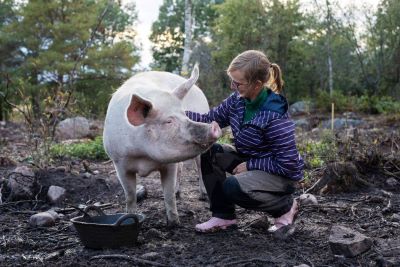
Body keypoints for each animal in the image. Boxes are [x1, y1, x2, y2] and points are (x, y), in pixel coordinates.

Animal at [103, 65, 222, 226]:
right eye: (168, 121)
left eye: (186, 115)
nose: (214, 126)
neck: (144, 155)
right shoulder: (119, 163)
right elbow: (130, 195)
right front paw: (131, 218)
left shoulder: (169, 165)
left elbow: (168, 194)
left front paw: (174, 224)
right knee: (182, 168)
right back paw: (179, 193)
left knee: (199, 167)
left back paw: (203, 196)